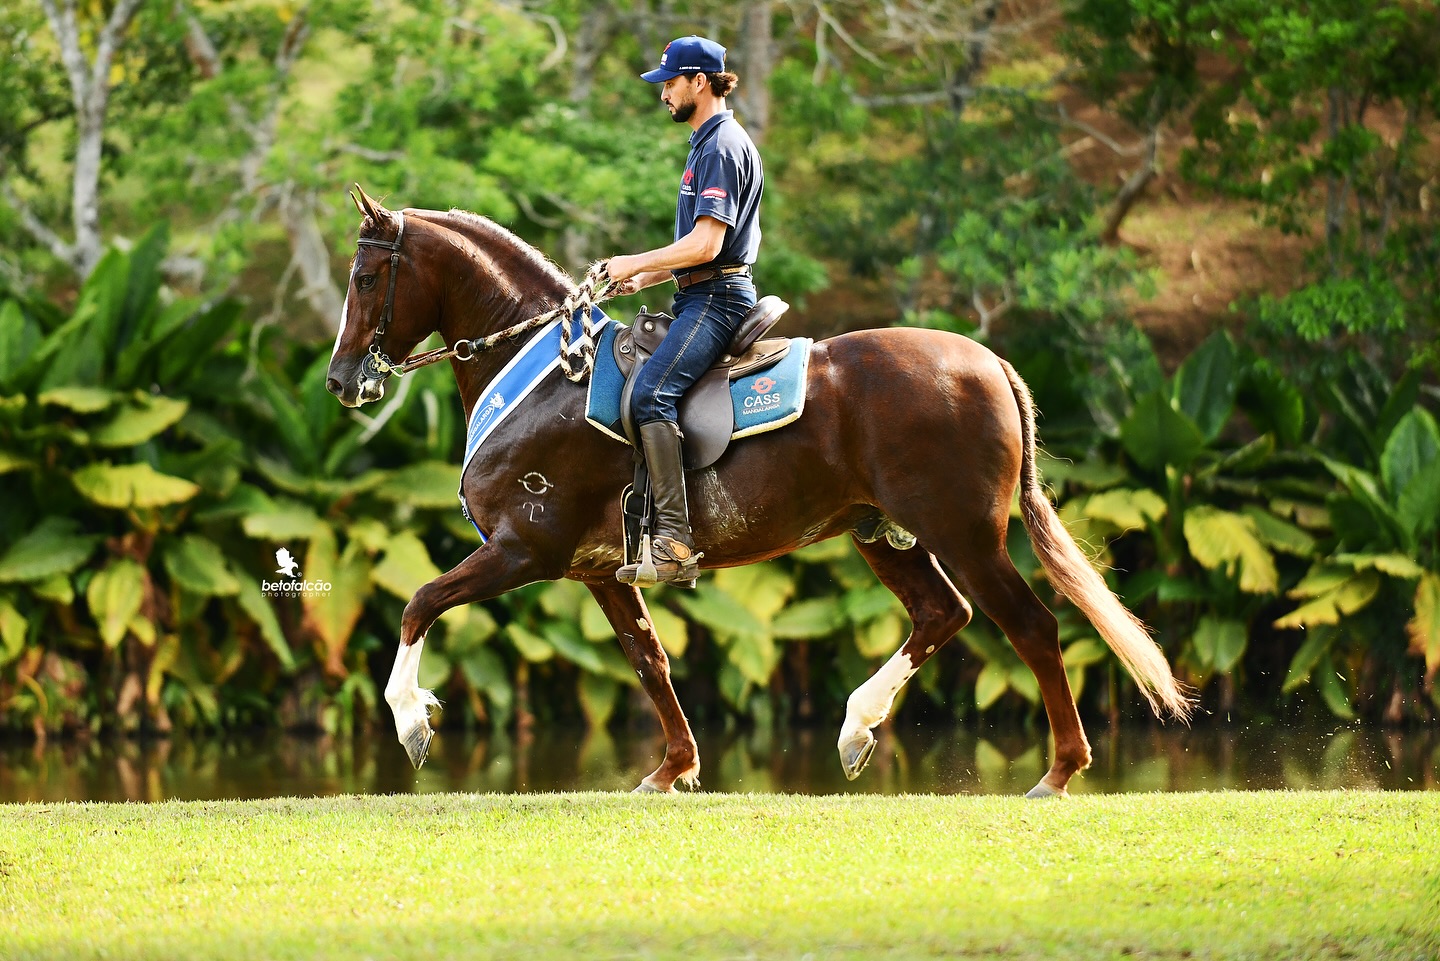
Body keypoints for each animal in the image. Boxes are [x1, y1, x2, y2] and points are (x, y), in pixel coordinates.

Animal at [326, 187, 1192, 797]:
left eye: (366, 276)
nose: (340, 380)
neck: (546, 377)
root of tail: (988, 362)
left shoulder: (522, 549)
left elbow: (418, 603)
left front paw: (410, 719)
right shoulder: (599, 569)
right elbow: (649, 658)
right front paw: (673, 767)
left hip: (964, 532)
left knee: (1032, 626)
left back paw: (1058, 770)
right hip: (880, 532)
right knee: (945, 614)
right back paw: (857, 727)